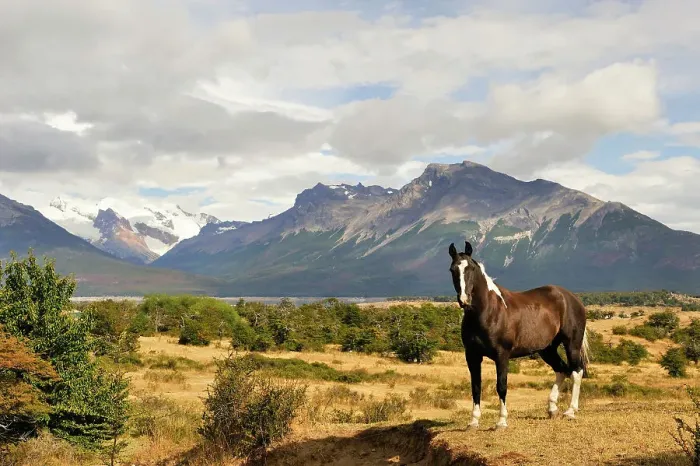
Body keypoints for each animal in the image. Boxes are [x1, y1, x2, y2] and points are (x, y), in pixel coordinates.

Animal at [448, 241, 589, 430]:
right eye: (452, 269)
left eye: (471, 268)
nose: (464, 300)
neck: (488, 311)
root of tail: (572, 298)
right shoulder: (472, 355)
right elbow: (476, 387)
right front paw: (473, 421)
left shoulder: (502, 355)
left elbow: (501, 386)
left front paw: (501, 421)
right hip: (547, 349)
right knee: (561, 370)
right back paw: (552, 409)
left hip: (572, 343)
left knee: (576, 371)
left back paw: (571, 411)